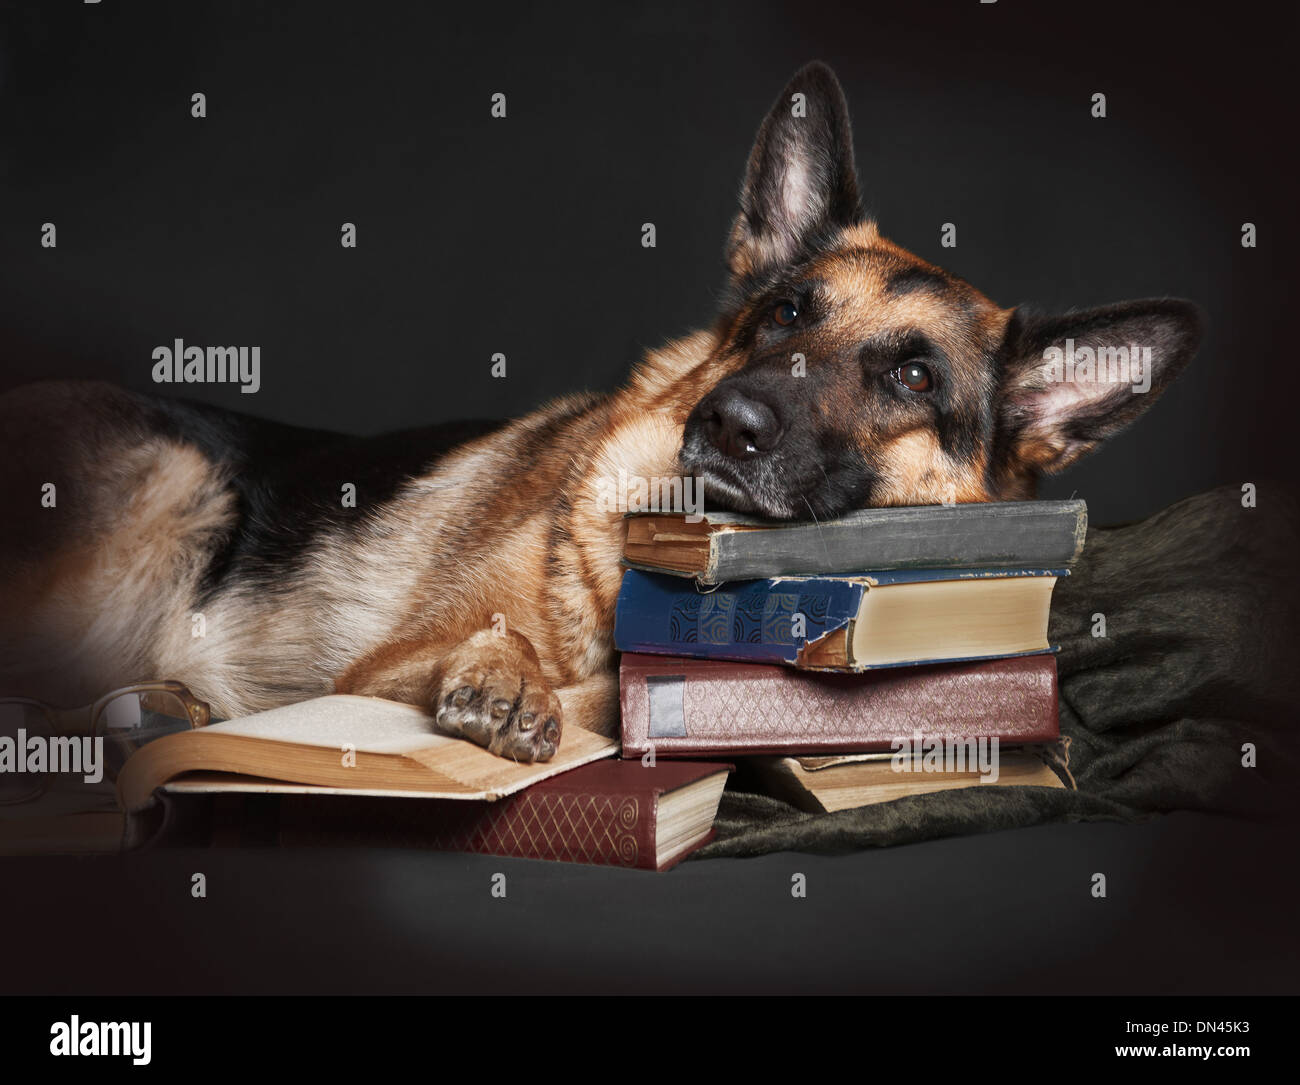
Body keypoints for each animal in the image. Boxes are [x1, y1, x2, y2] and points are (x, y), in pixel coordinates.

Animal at [0, 63, 1196, 764]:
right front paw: (503, 674)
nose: (729, 421)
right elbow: (521, 655)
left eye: (912, 380)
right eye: (785, 313)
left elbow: (612, 695)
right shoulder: (377, 665)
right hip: (174, 485)